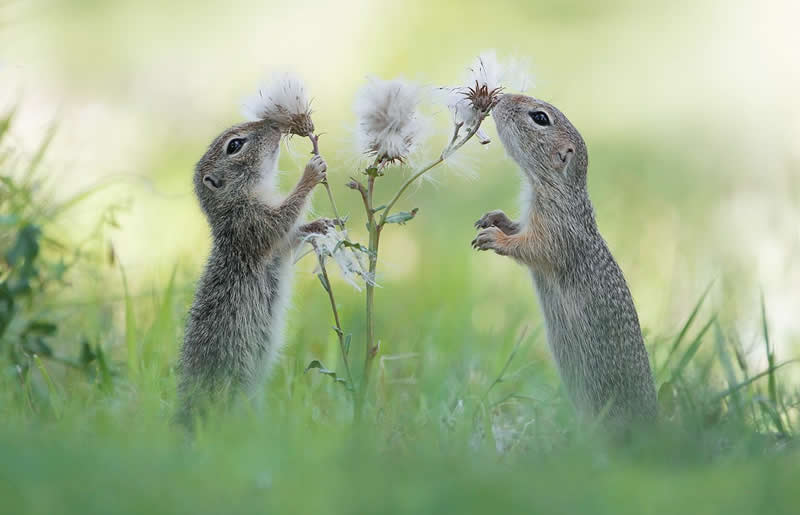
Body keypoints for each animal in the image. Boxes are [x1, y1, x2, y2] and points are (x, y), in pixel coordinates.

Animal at [177, 118, 331, 425]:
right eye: (235, 145)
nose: (274, 124)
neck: (232, 203)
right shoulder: (251, 222)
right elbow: (284, 217)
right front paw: (311, 172)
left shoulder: (275, 242)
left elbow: (290, 237)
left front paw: (318, 225)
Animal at [472, 94, 658, 427]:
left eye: (540, 118)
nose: (500, 97)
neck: (553, 186)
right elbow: (516, 227)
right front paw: (494, 219)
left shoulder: (556, 227)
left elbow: (533, 247)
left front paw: (494, 238)